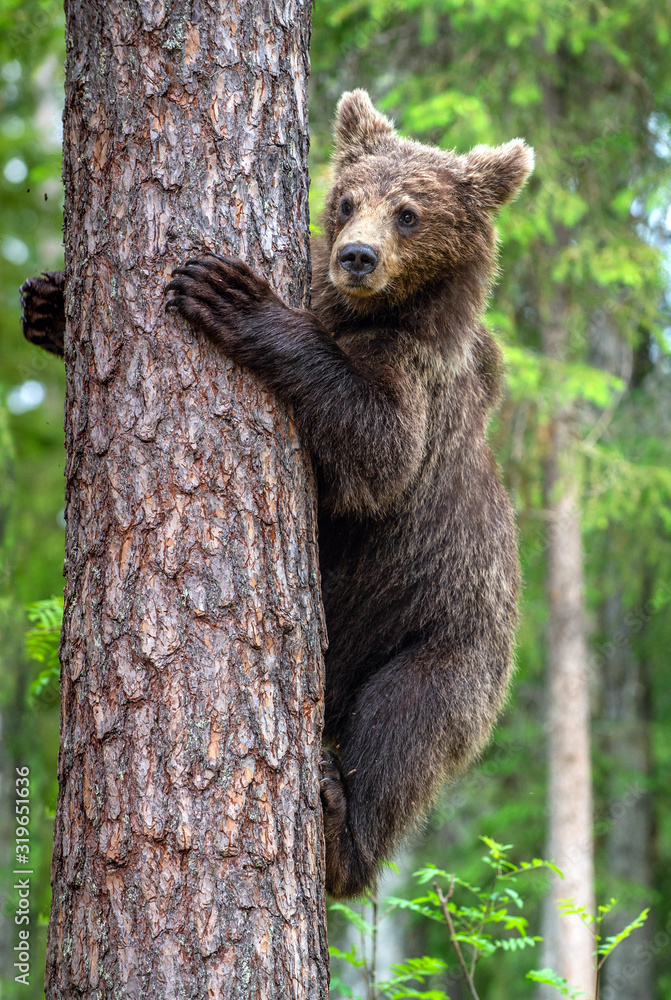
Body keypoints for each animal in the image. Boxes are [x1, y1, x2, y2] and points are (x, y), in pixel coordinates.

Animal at [21, 90, 532, 899]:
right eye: (347, 198)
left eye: (408, 212)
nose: (356, 256)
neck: (371, 313)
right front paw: (51, 301)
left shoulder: (421, 382)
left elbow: (375, 451)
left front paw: (230, 294)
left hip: (446, 643)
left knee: (403, 732)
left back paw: (340, 831)